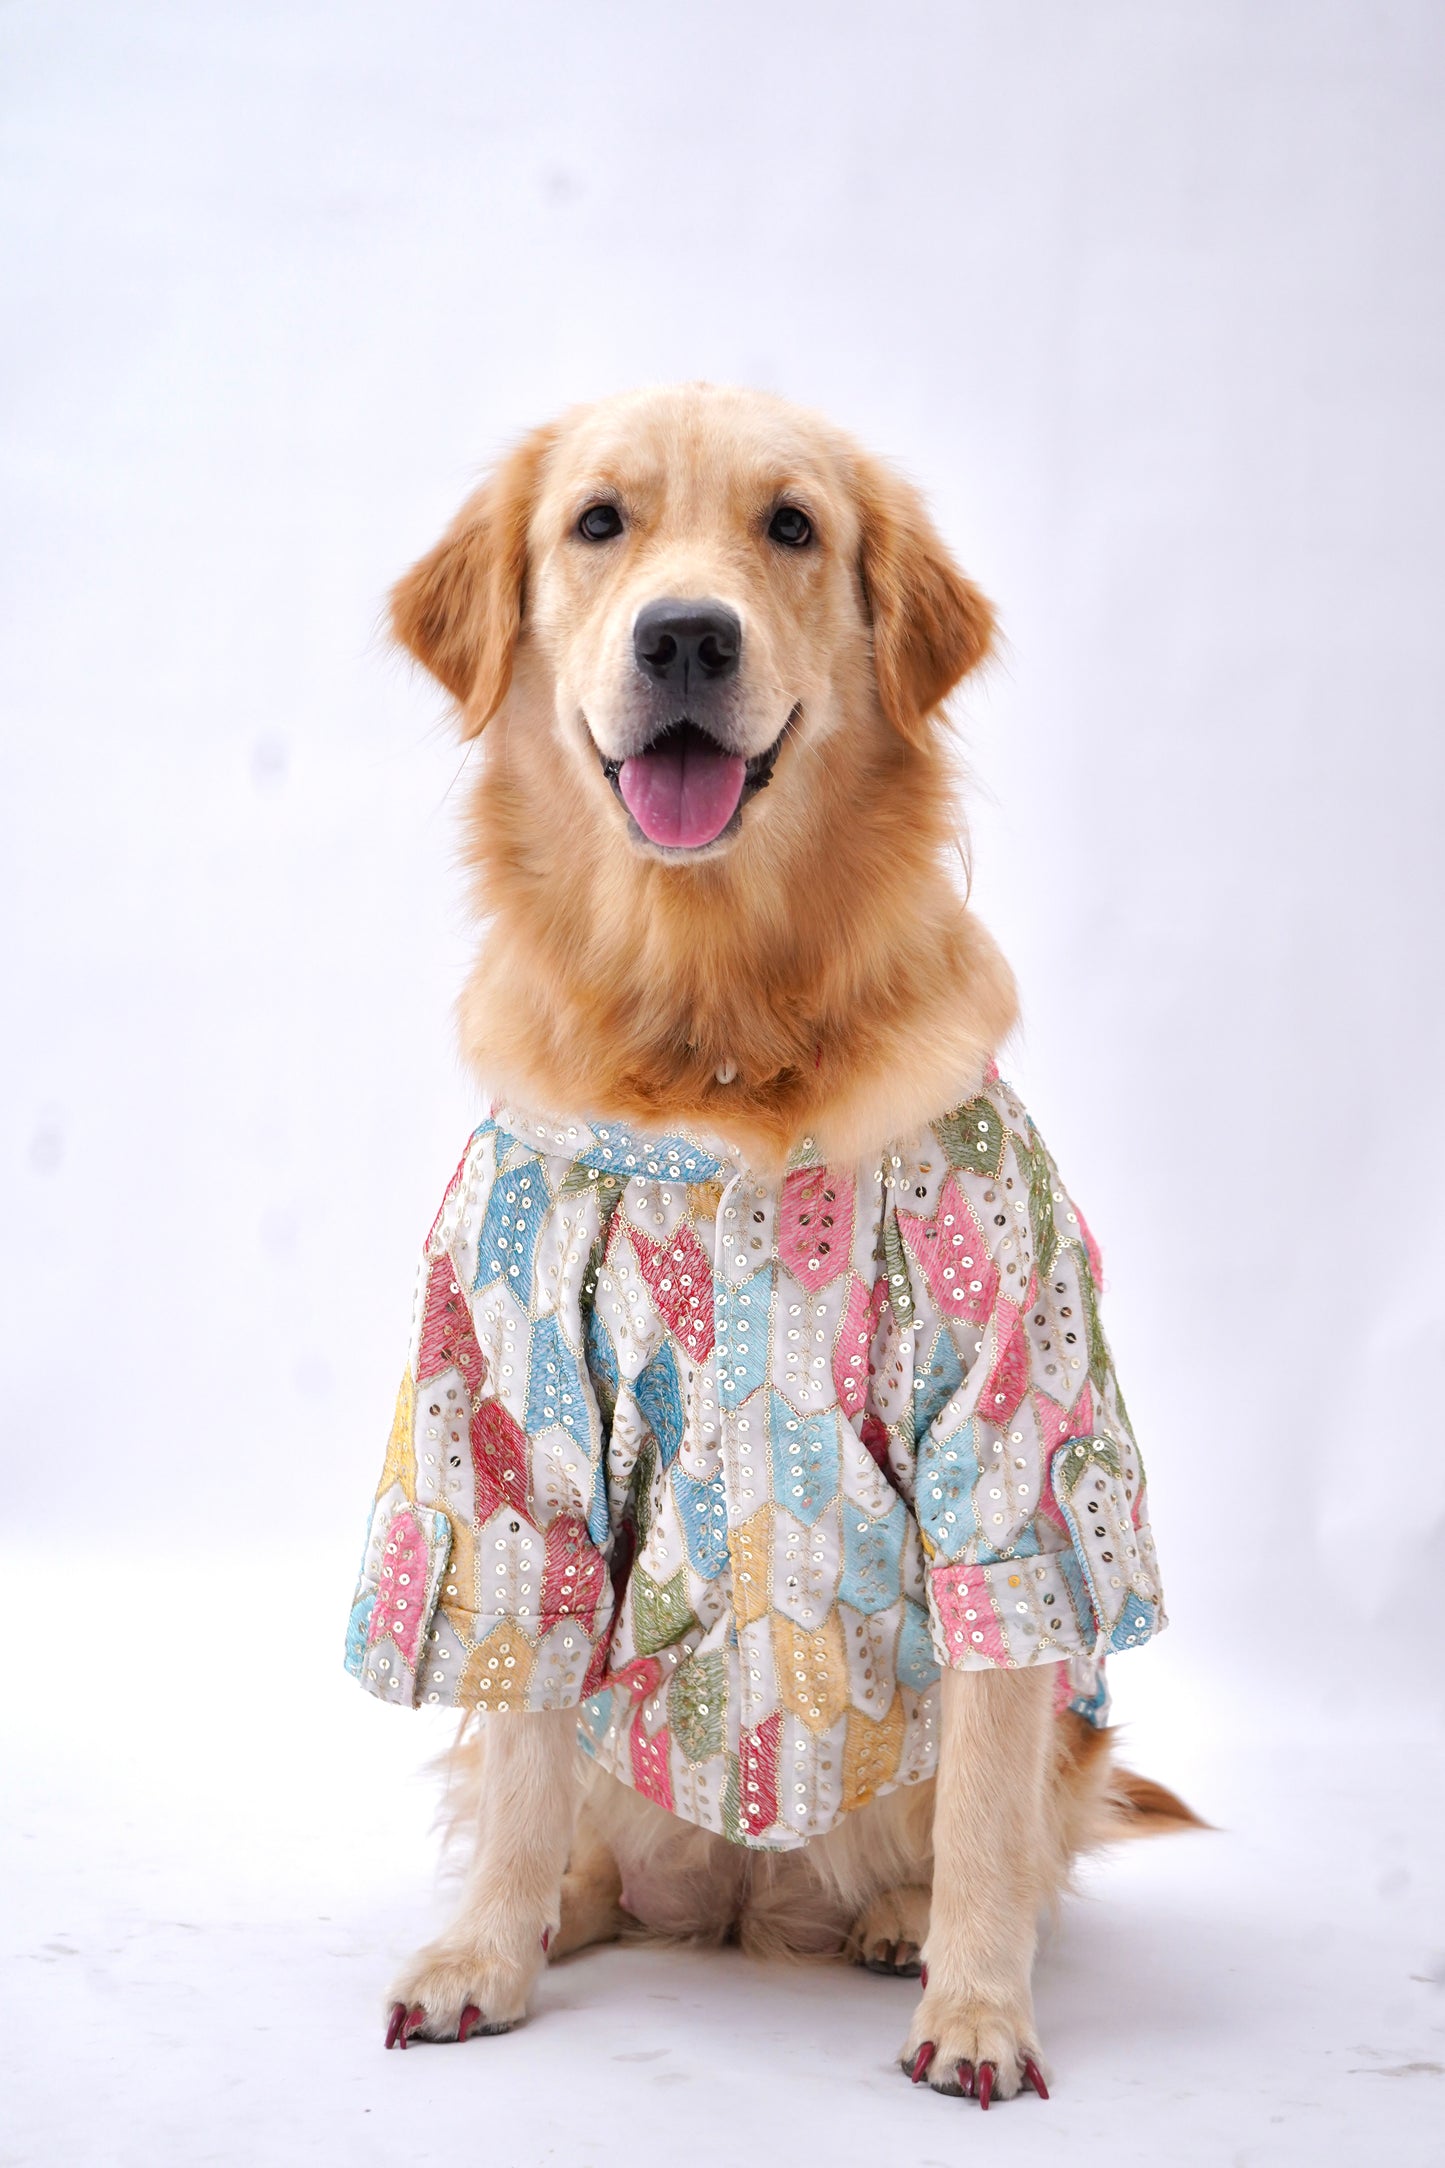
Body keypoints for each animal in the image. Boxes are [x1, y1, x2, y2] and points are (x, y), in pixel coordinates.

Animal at [350, 385, 1195, 2098]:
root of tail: (743, 1900)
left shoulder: (1006, 1450)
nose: (685, 634)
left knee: (1001, 1817)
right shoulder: (506, 1419)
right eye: (598, 523)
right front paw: (482, 1953)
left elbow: (994, 1781)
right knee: (567, 1812)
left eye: (791, 526)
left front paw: (976, 2008)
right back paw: (568, 1904)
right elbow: (517, 1702)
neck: (716, 1029)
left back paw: (898, 1927)